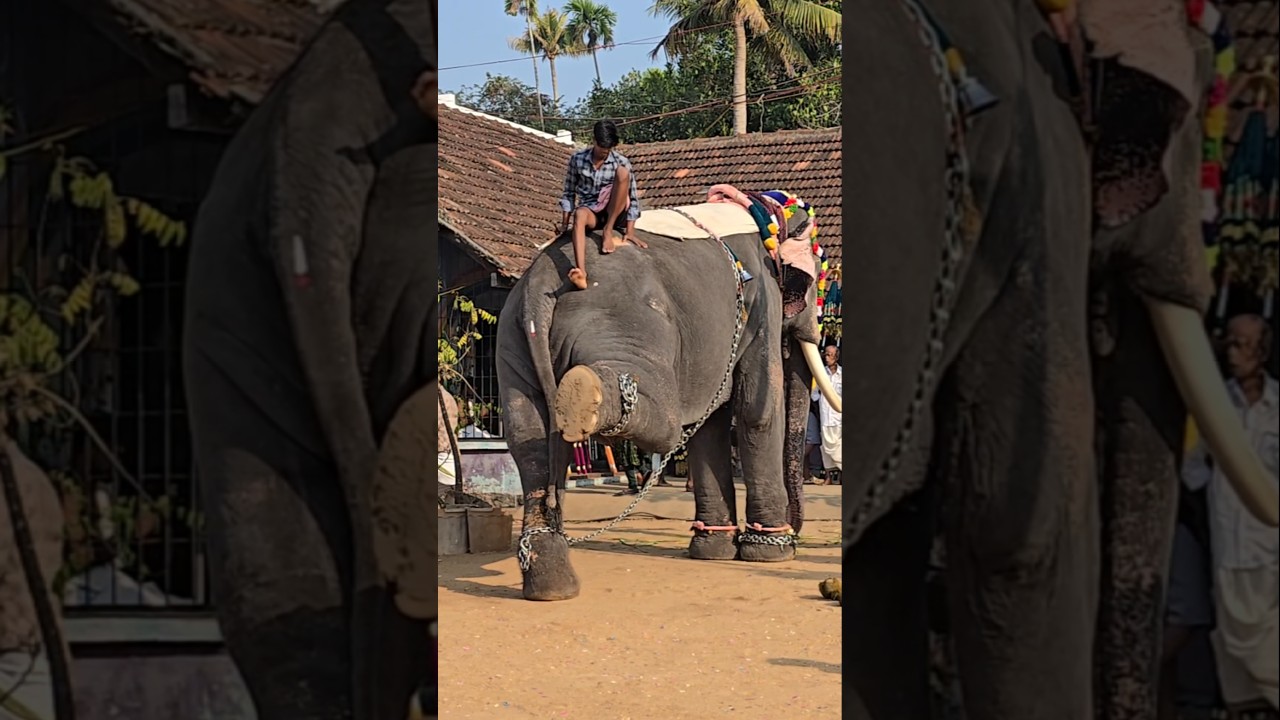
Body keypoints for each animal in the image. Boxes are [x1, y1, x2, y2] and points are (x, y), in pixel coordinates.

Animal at [495, 200, 841, 601]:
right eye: (814, 283)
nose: (797, 534)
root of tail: (539, 280)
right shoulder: (763, 304)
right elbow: (757, 410)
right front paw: (770, 552)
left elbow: (712, 416)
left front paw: (713, 550)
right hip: (624, 323)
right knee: (667, 419)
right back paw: (583, 396)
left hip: (513, 339)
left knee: (529, 439)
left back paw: (552, 586)